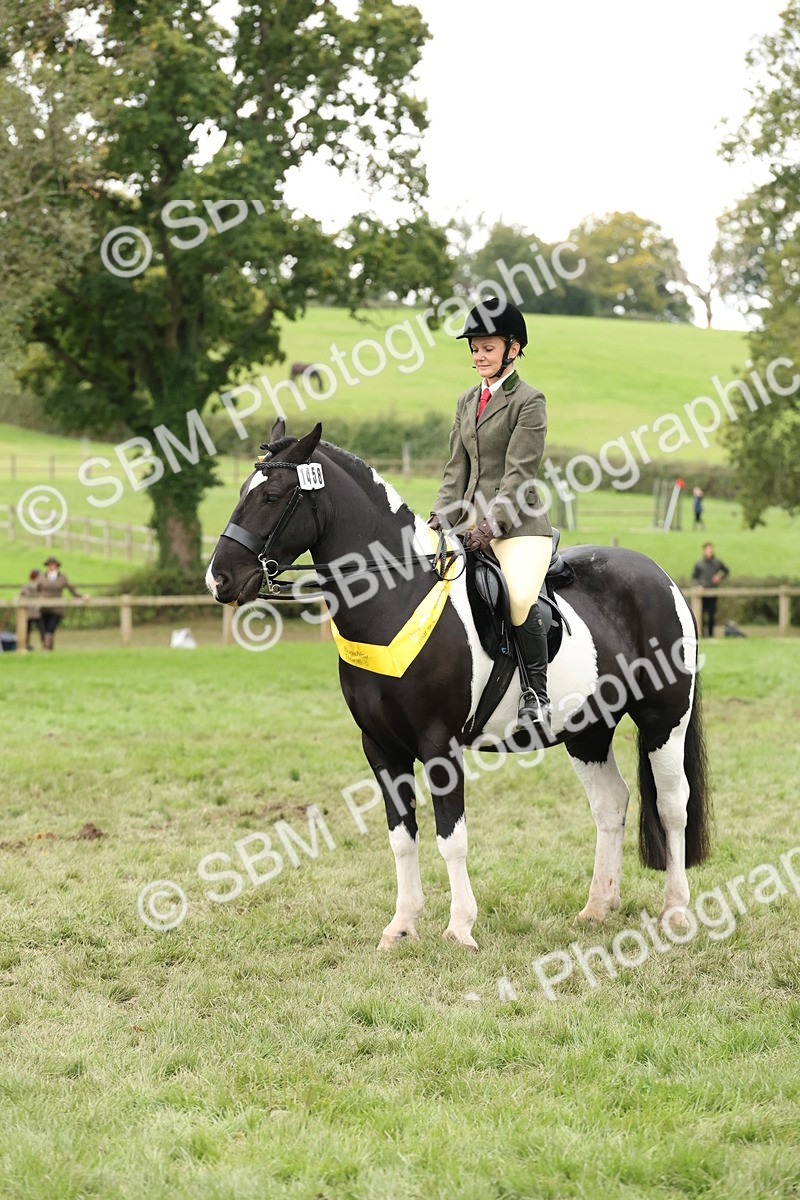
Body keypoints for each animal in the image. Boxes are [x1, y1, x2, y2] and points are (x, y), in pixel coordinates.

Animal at [206, 420, 710, 951]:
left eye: (273, 496)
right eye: (242, 492)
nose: (219, 579)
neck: (396, 597)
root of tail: (661, 577)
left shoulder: (439, 744)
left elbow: (452, 837)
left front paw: (460, 927)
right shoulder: (380, 746)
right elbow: (401, 838)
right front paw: (402, 925)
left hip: (664, 720)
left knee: (673, 807)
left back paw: (676, 911)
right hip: (587, 730)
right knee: (610, 805)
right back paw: (597, 907)